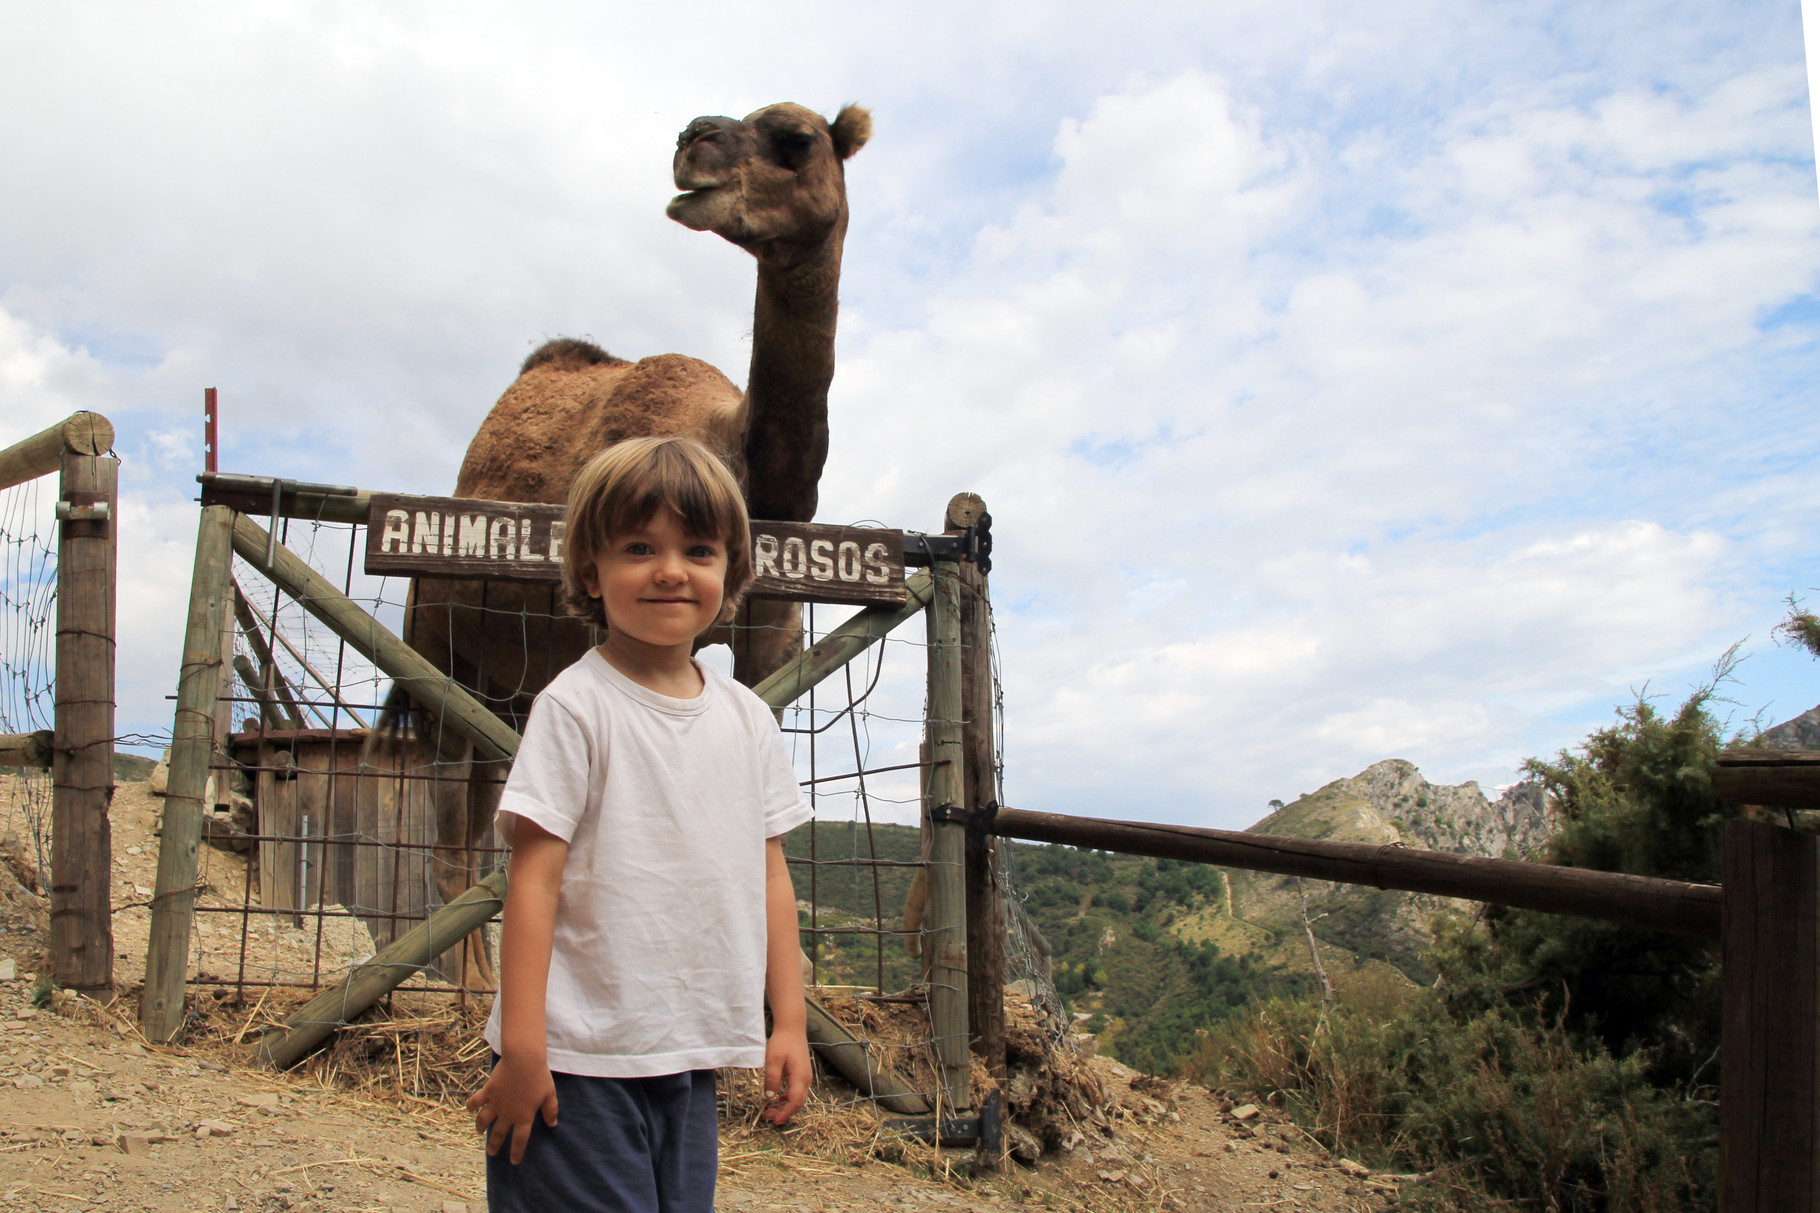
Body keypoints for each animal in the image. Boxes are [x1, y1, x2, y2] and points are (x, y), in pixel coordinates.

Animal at [379, 102, 870, 985]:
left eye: (795, 140)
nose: (692, 139)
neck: (746, 477)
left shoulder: (772, 639)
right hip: (434, 646)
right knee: (451, 827)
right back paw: (467, 989)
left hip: (509, 683)